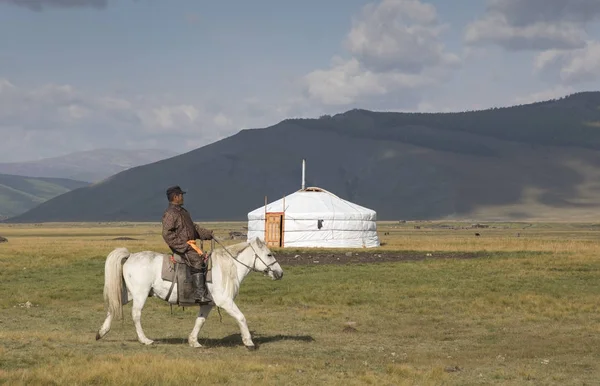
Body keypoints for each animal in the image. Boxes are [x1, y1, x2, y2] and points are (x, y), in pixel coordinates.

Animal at [95, 235, 284, 350]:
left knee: (114, 306)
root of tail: (131, 256)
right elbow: (241, 318)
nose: (280, 273)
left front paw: (194, 341)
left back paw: (101, 333)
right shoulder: (226, 302)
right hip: (140, 294)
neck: (228, 267)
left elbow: (200, 321)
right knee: (136, 315)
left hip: (130, 293)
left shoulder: (207, 304)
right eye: (269, 254)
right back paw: (145, 340)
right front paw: (249, 342)